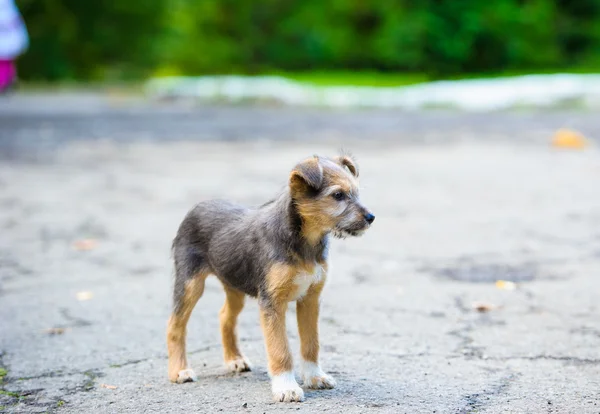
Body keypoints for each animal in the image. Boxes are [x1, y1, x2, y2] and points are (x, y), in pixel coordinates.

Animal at [166, 153, 372, 402]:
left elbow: (311, 343)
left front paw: (314, 376)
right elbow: (280, 349)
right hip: (190, 285)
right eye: (338, 195)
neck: (305, 241)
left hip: (234, 286)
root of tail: (198, 206)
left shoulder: (310, 299)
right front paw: (286, 387)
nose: (371, 217)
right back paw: (179, 371)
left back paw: (234, 359)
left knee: (225, 316)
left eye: (356, 192)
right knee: (175, 325)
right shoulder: (272, 302)